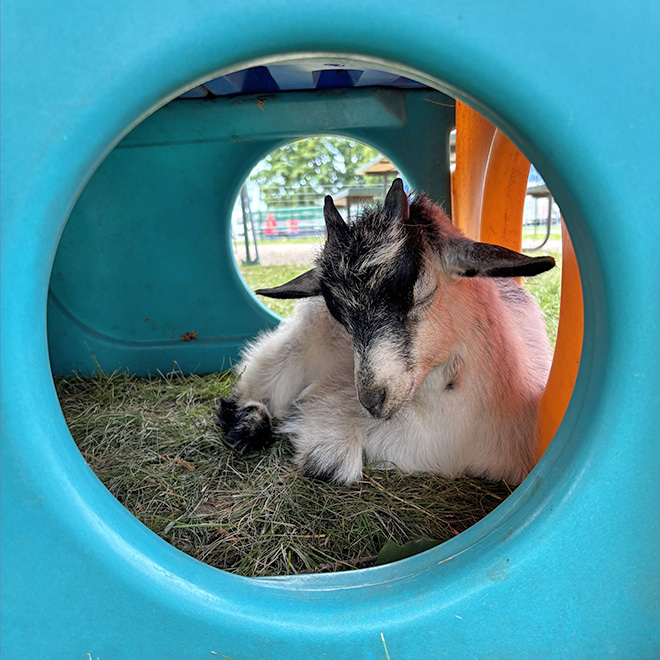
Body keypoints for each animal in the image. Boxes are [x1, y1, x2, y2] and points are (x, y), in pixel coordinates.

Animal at [217, 179, 555, 485]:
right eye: (339, 314)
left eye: (417, 292)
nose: (371, 400)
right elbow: (327, 463)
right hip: (298, 343)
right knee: (258, 375)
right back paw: (246, 425)